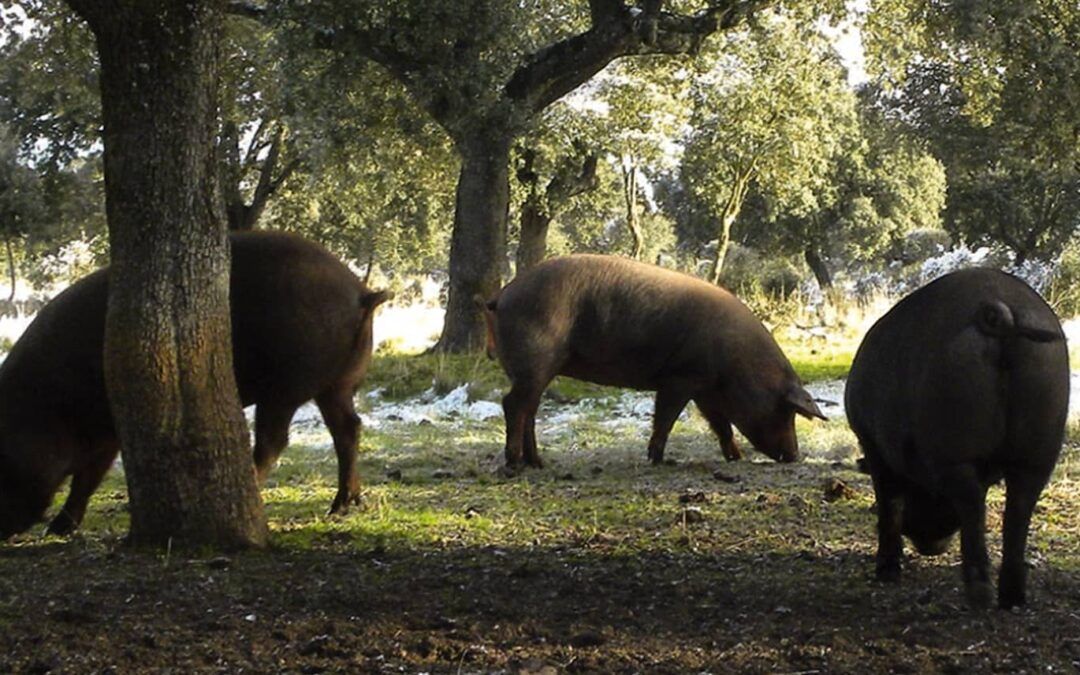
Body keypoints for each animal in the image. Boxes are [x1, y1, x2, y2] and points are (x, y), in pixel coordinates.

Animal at [0, 230, 388, 537]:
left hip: (285, 386)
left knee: (275, 441)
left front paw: (58, 529)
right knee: (348, 428)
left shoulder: (106, 428)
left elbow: (88, 477)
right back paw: (342, 505)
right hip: (337, 385)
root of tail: (361, 292)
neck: (49, 403)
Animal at [486, 254, 820, 470]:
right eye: (786, 410)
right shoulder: (680, 378)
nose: (795, 455)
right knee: (513, 404)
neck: (740, 364)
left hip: (535, 369)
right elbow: (666, 418)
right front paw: (658, 459)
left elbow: (720, 424)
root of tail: (503, 294)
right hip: (535, 359)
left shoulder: (704, 389)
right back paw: (514, 464)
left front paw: (736, 458)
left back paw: (538, 463)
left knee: (529, 410)